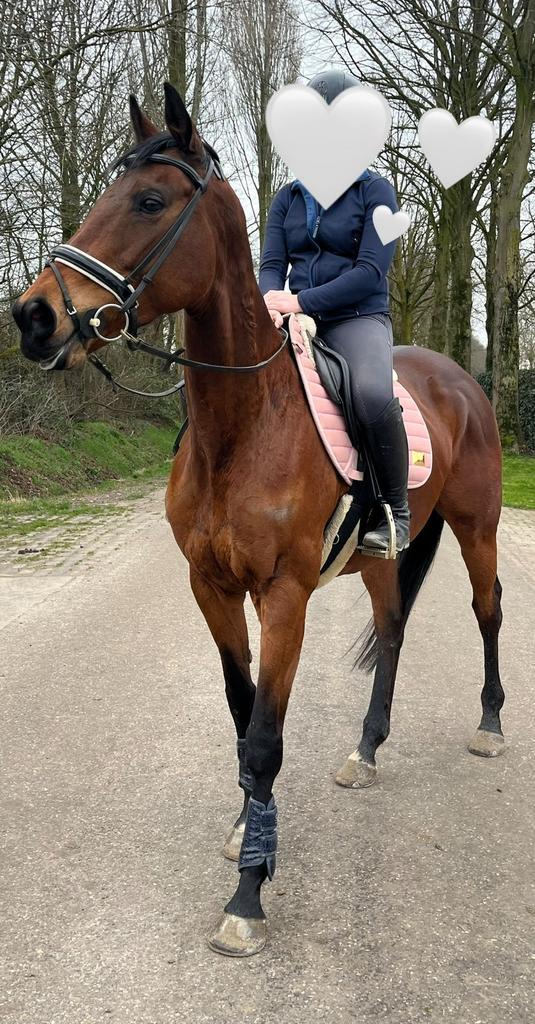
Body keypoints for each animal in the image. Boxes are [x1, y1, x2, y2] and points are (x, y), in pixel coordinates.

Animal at [12, 84, 504, 957]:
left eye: (148, 200)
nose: (35, 317)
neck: (242, 426)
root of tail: (459, 377)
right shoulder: (210, 589)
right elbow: (242, 720)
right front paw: (250, 834)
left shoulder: (284, 598)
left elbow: (268, 739)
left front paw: (247, 896)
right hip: (377, 558)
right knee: (392, 629)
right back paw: (365, 750)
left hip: (477, 528)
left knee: (487, 611)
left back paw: (488, 724)